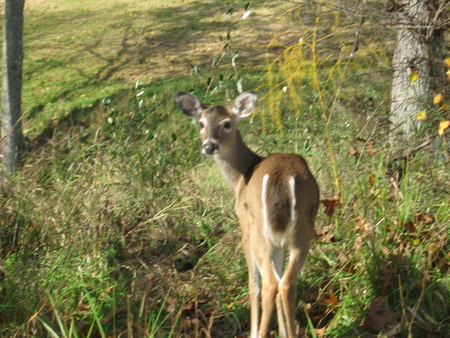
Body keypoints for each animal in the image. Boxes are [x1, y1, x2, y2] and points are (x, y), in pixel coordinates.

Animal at [176, 90, 320, 338]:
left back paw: (258, 334)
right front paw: (282, 332)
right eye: (201, 123)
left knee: (269, 284)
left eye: (226, 123)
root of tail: (281, 179)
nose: (209, 146)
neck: (240, 177)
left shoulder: (244, 227)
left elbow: (254, 285)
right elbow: (280, 277)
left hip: (257, 231)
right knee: (286, 283)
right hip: (303, 229)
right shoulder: (279, 243)